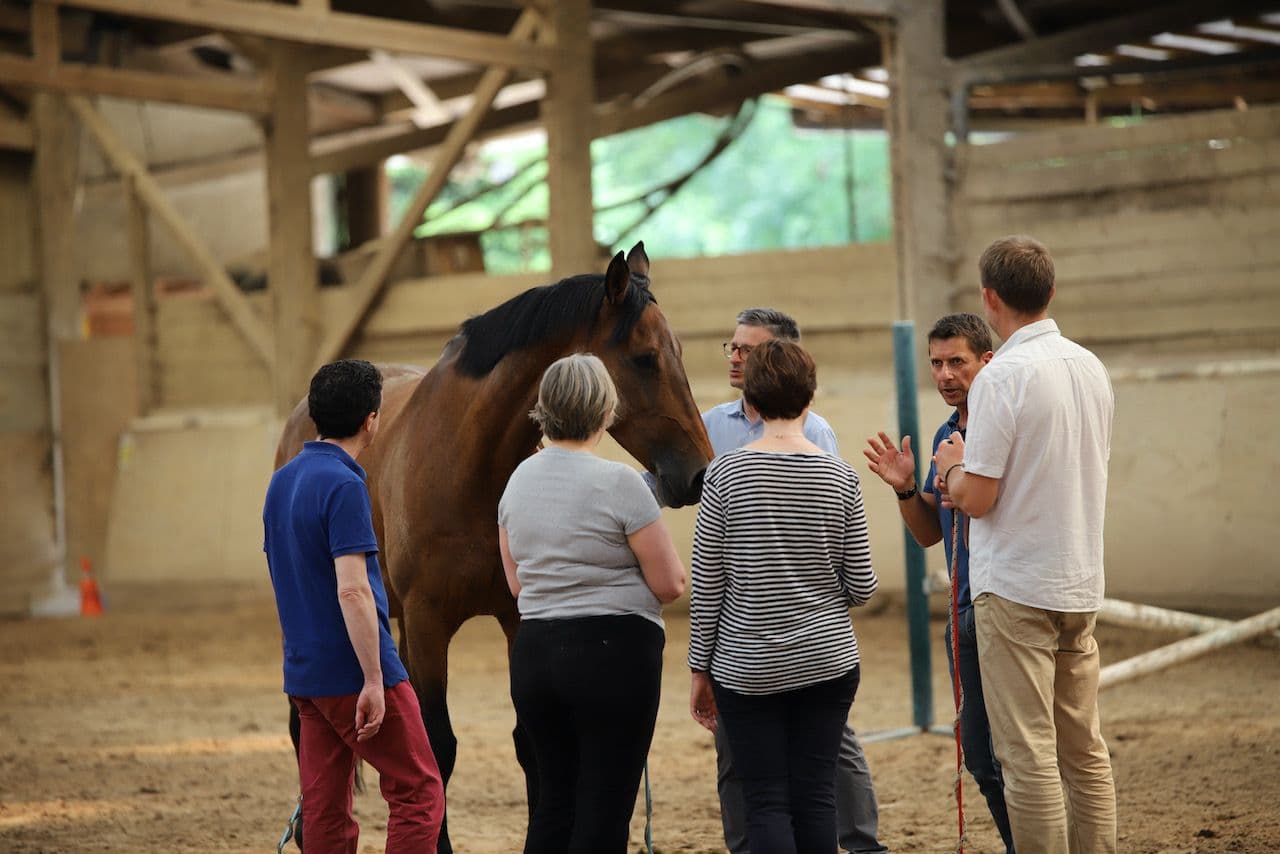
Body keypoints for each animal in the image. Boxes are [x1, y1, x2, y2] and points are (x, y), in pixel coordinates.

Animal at [275, 242, 713, 852]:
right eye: (645, 357)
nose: (697, 473)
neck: (469, 463)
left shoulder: (516, 617)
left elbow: (530, 746)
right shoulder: (429, 621)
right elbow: (437, 747)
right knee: (305, 725)